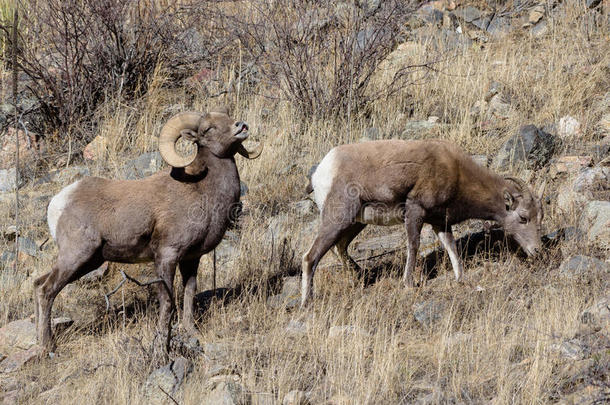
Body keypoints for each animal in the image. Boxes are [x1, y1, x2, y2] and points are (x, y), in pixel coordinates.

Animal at [34, 109, 260, 348]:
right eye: (208, 129)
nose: (241, 126)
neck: (202, 189)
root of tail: (58, 202)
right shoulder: (167, 256)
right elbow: (167, 300)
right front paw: (162, 340)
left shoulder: (191, 259)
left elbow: (189, 295)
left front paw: (192, 332)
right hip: (76, 256)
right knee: (46, 290)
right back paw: (47, 345)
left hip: (89, 261)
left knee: (38, 284)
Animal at [302, 140, 544, 304]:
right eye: (523, 217)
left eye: (539, 217)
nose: (537, 251)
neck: (455, 171)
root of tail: (321, 172)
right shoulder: (415, 211)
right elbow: (414, 245)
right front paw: (408, 284)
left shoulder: (440, 223)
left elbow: (451, 248)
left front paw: (460, 279)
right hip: (338, 219)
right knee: (310, 257)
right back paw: (307, 301)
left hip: (355, 223)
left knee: (340, 247)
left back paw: (359, 278)